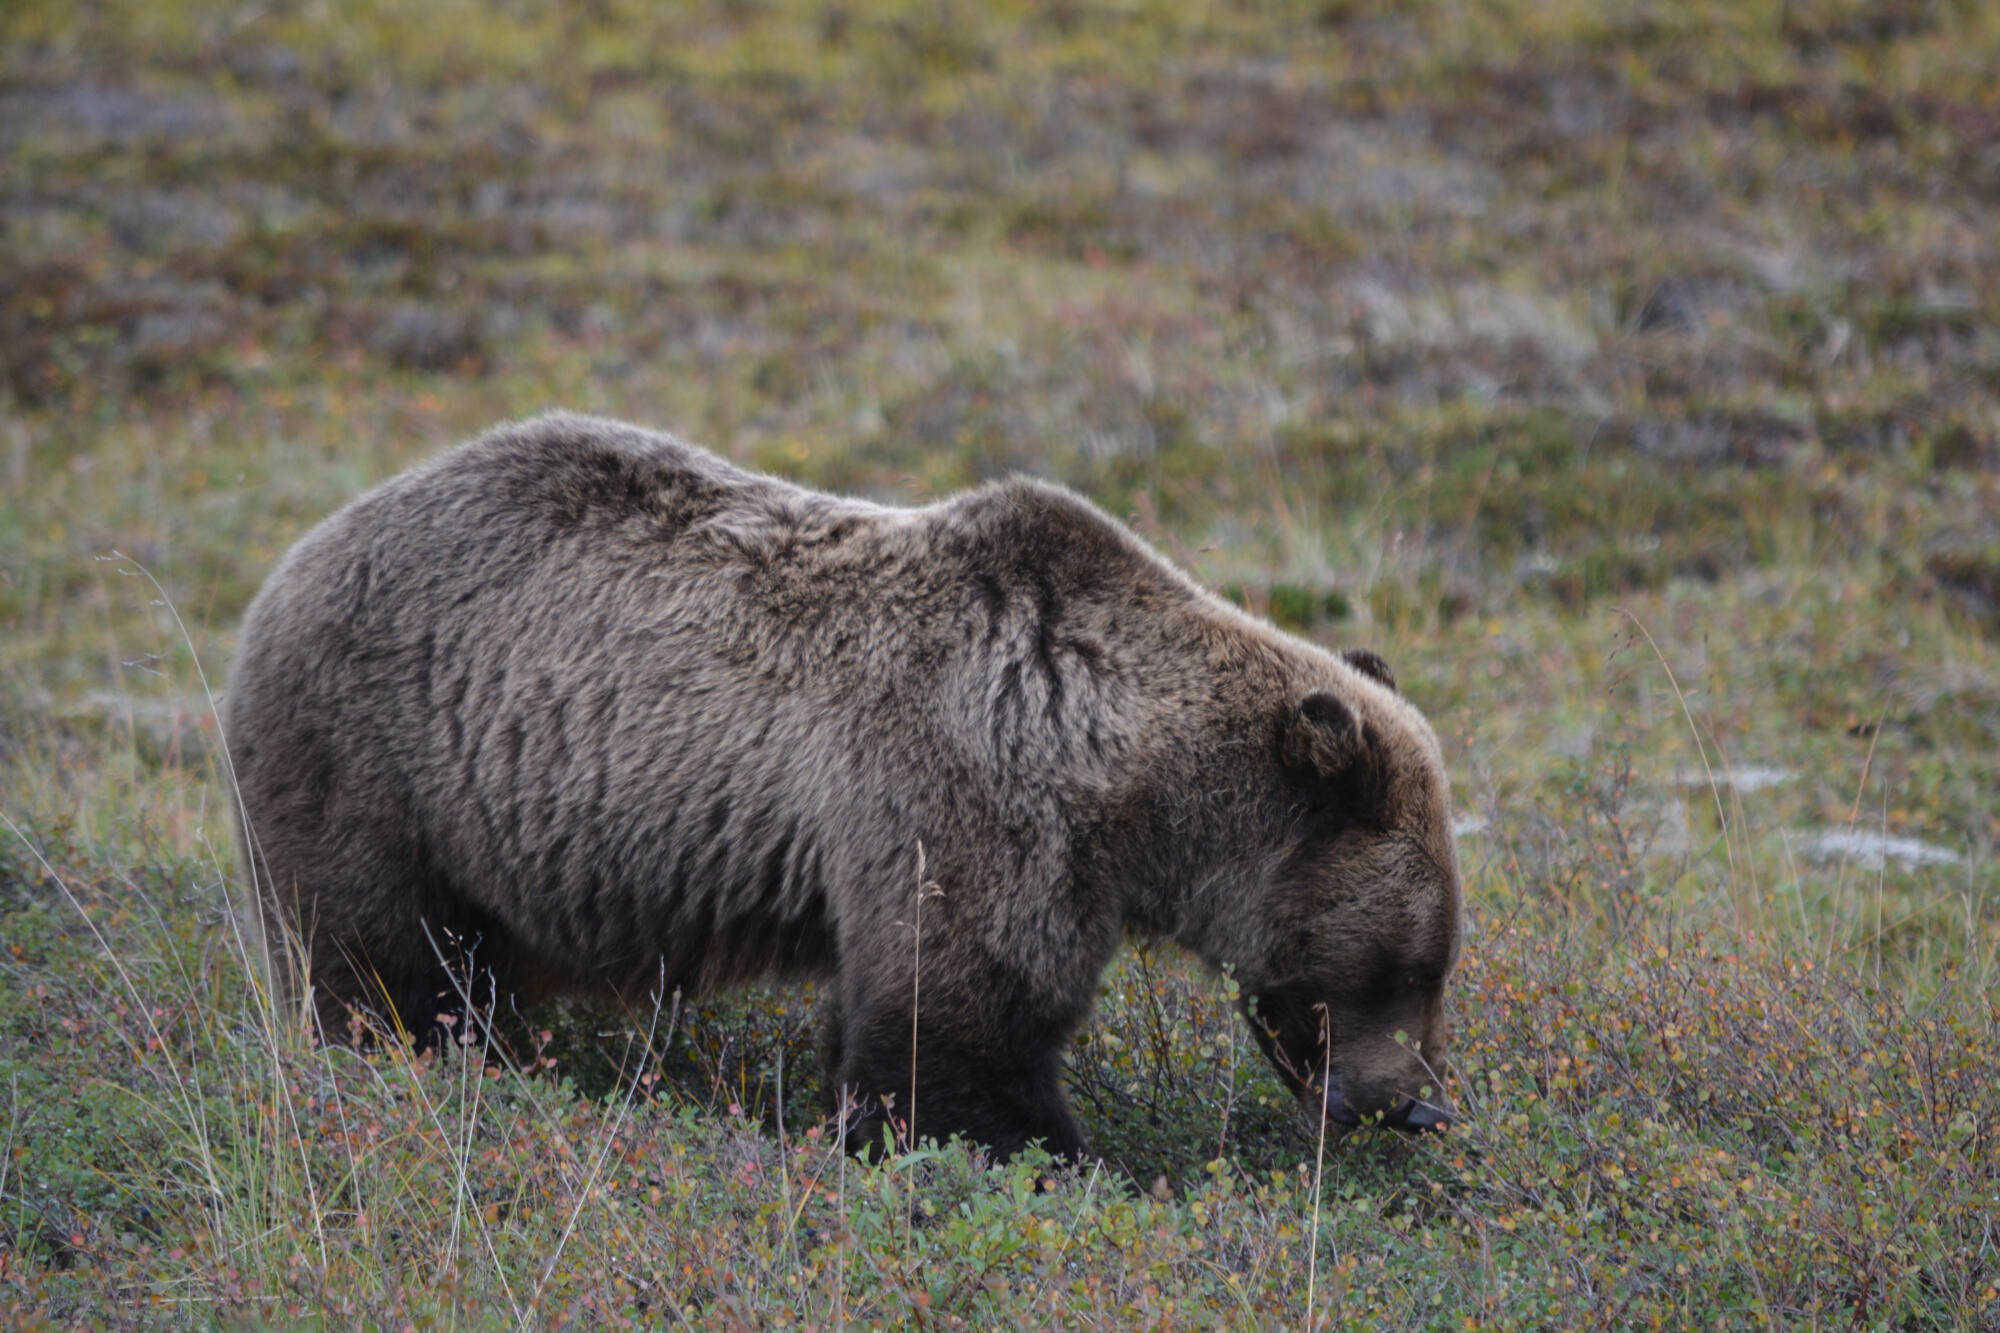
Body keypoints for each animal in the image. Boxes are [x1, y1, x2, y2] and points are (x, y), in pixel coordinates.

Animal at [227, 410, 1464, 1160]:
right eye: (1407, 964)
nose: (1408, 1102)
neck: (1123, 781)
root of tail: (290, 559)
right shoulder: (965, 799)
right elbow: (955, 1027)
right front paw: (1039, 1151)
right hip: (380, 763)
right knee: (386, 962)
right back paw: (416, 1059)